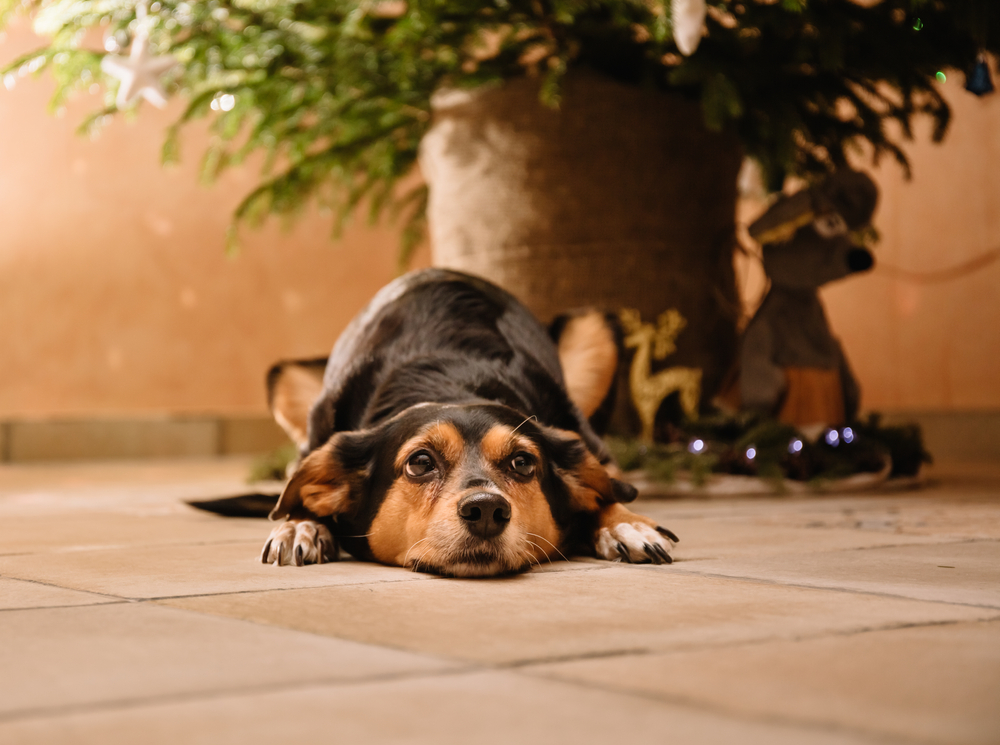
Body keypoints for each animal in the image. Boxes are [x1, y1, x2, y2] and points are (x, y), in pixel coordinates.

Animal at [262, 268, 676, 576]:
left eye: (522, 462)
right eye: (420, 462)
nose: (487, 511)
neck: (452, 380)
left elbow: (608, 491)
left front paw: (626, 522)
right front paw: (299, 524)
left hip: (594, 323)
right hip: (281, 378)